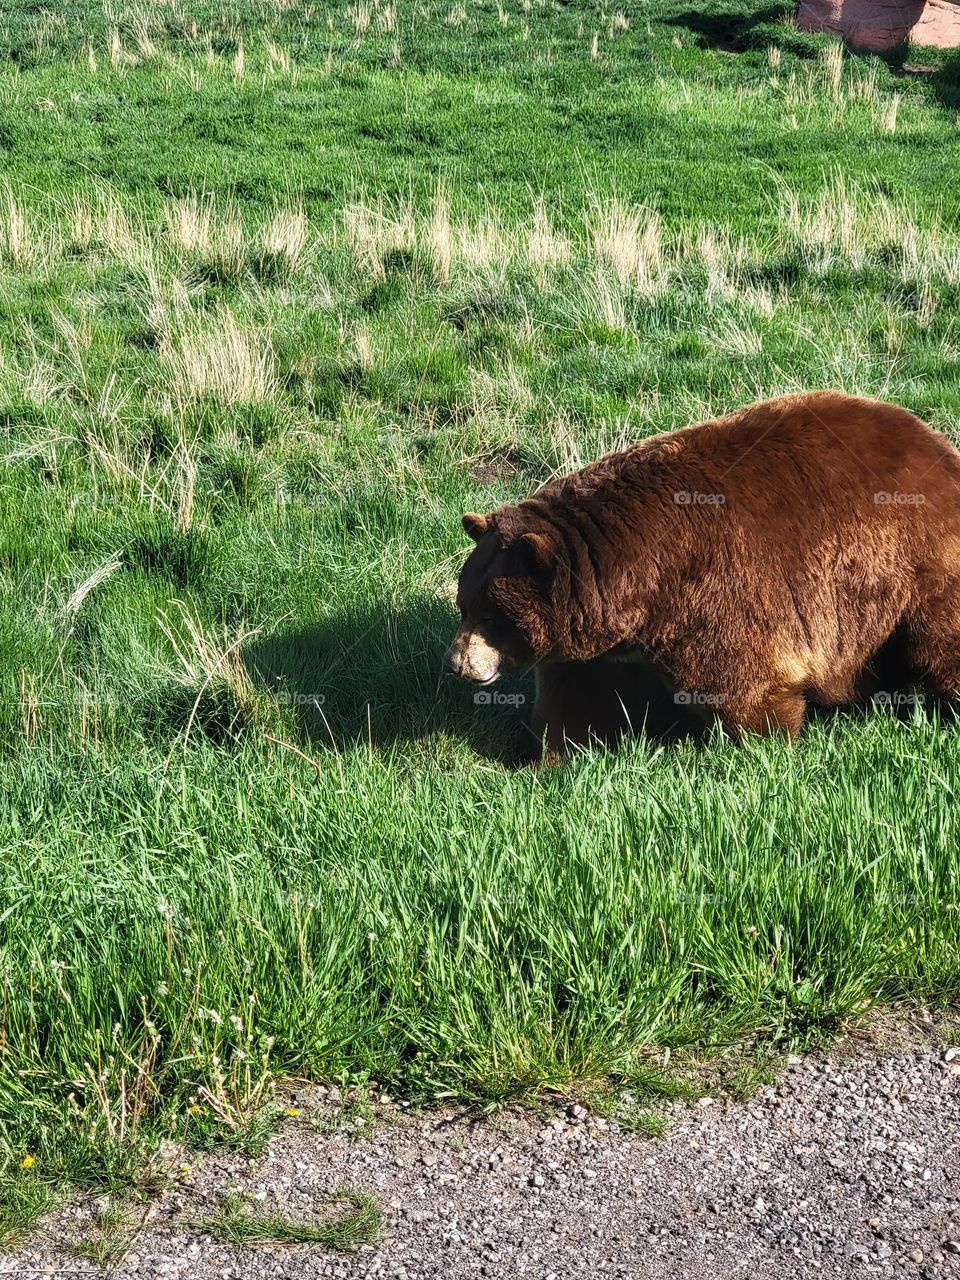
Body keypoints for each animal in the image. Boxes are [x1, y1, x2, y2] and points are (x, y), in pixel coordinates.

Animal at [444, 391, 960, 763]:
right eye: (464, 604)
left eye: (490, 615)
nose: (455, 664)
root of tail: (937, 441)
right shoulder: (601, 640)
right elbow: (577, 697)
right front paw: (546, 760)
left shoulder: (715, 590)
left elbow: (744, 683)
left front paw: (761, 746)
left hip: (915, 562)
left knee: (940, 640)